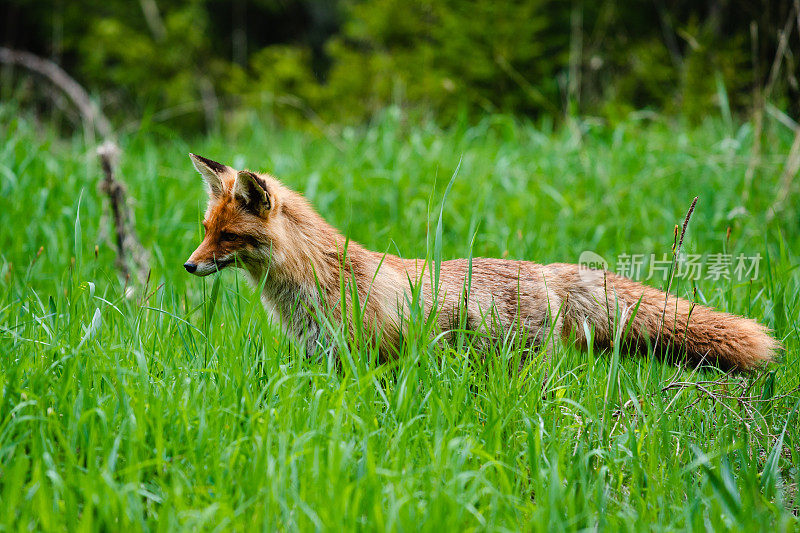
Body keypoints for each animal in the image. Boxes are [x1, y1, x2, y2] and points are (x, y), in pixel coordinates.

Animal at [183, 153, 780, 370]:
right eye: (206, 232)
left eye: (229, 236)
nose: (188, 267)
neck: (314, 280)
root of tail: (546, 269)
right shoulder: (322, 358)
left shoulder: (370, 356)